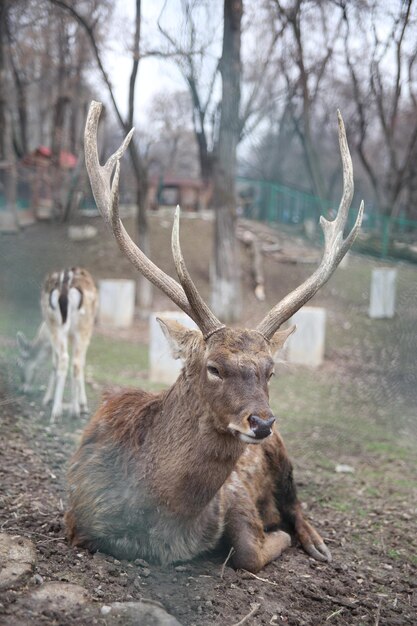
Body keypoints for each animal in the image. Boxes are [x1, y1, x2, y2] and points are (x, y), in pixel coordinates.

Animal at [16, 266, 98, 422]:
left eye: (19, 363)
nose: (23, 389)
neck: (42, 333)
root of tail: (66, 285)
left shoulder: (50, 337)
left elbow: (54, 363)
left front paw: (47, 399)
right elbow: (82, 364)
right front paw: (82, 405)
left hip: (56, 324)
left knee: (64, 359)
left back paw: (56, 411)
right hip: (84, 326)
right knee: (76, 363)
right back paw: (74, 411)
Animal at [64, 101, 360, 572]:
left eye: (270, 371)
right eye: (214, 367)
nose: (261, 421)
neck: (157, 526)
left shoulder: (234, 492)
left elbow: (249, 550)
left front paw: (277, 535)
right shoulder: (77, 519)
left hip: (284, 455)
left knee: (297, 505)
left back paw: (316, 543)